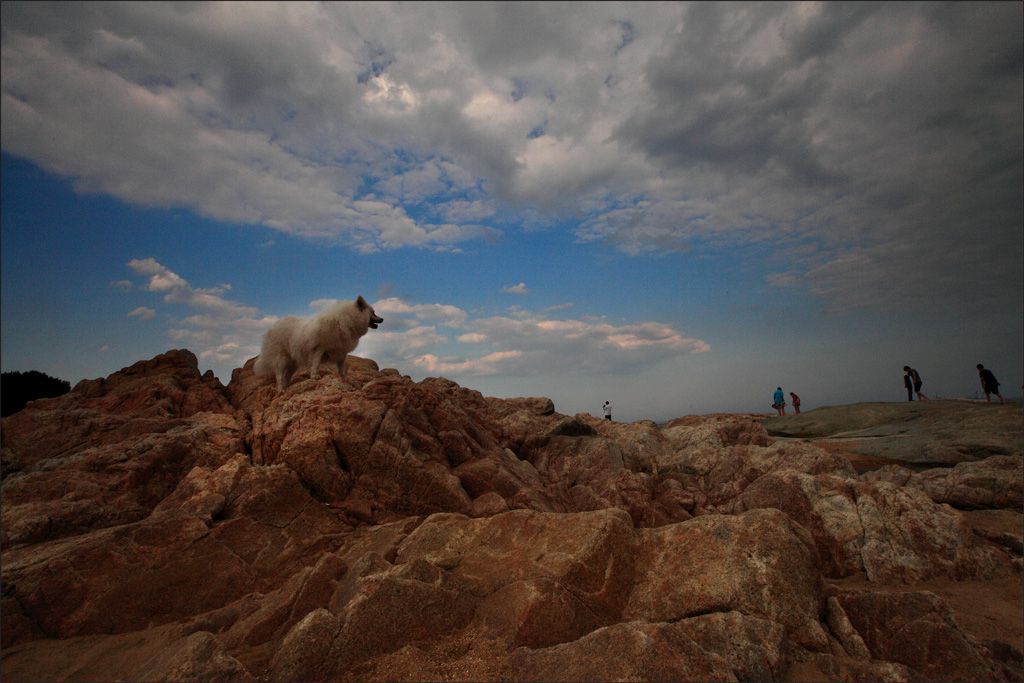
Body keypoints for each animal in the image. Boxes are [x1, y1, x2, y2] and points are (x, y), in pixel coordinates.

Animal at [256, 296, 385, 393]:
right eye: (373, 313)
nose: (382, 319)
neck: (344, 321)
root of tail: (272, 328)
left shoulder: (342, 352)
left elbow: (341, 367)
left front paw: (343, 377)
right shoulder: (319, 348)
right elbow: (316, 363)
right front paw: (315, 375)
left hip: (293, 363)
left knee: (287, 376)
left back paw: (287, 387)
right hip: (282, 359)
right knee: (279, 375)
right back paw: (281, 389)